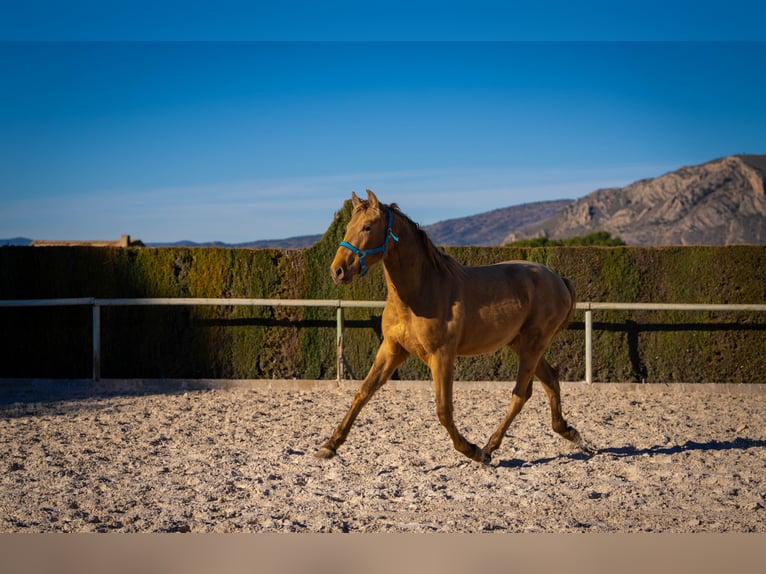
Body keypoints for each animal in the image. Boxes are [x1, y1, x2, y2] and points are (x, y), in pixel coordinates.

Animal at [318, 191, 588, 466]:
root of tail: (560, 280)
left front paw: (472, 450)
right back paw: (569, 432)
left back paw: (488, 448)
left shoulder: (442, 355)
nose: (337, 271)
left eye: (367, 227)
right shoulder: (392, 349)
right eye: (348, 226)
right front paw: (330, 446)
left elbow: (443, 410)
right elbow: (363, 392)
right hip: (522, 344)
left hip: (534, 344)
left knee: (521, 394)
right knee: (550, 379)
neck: (420, 293)